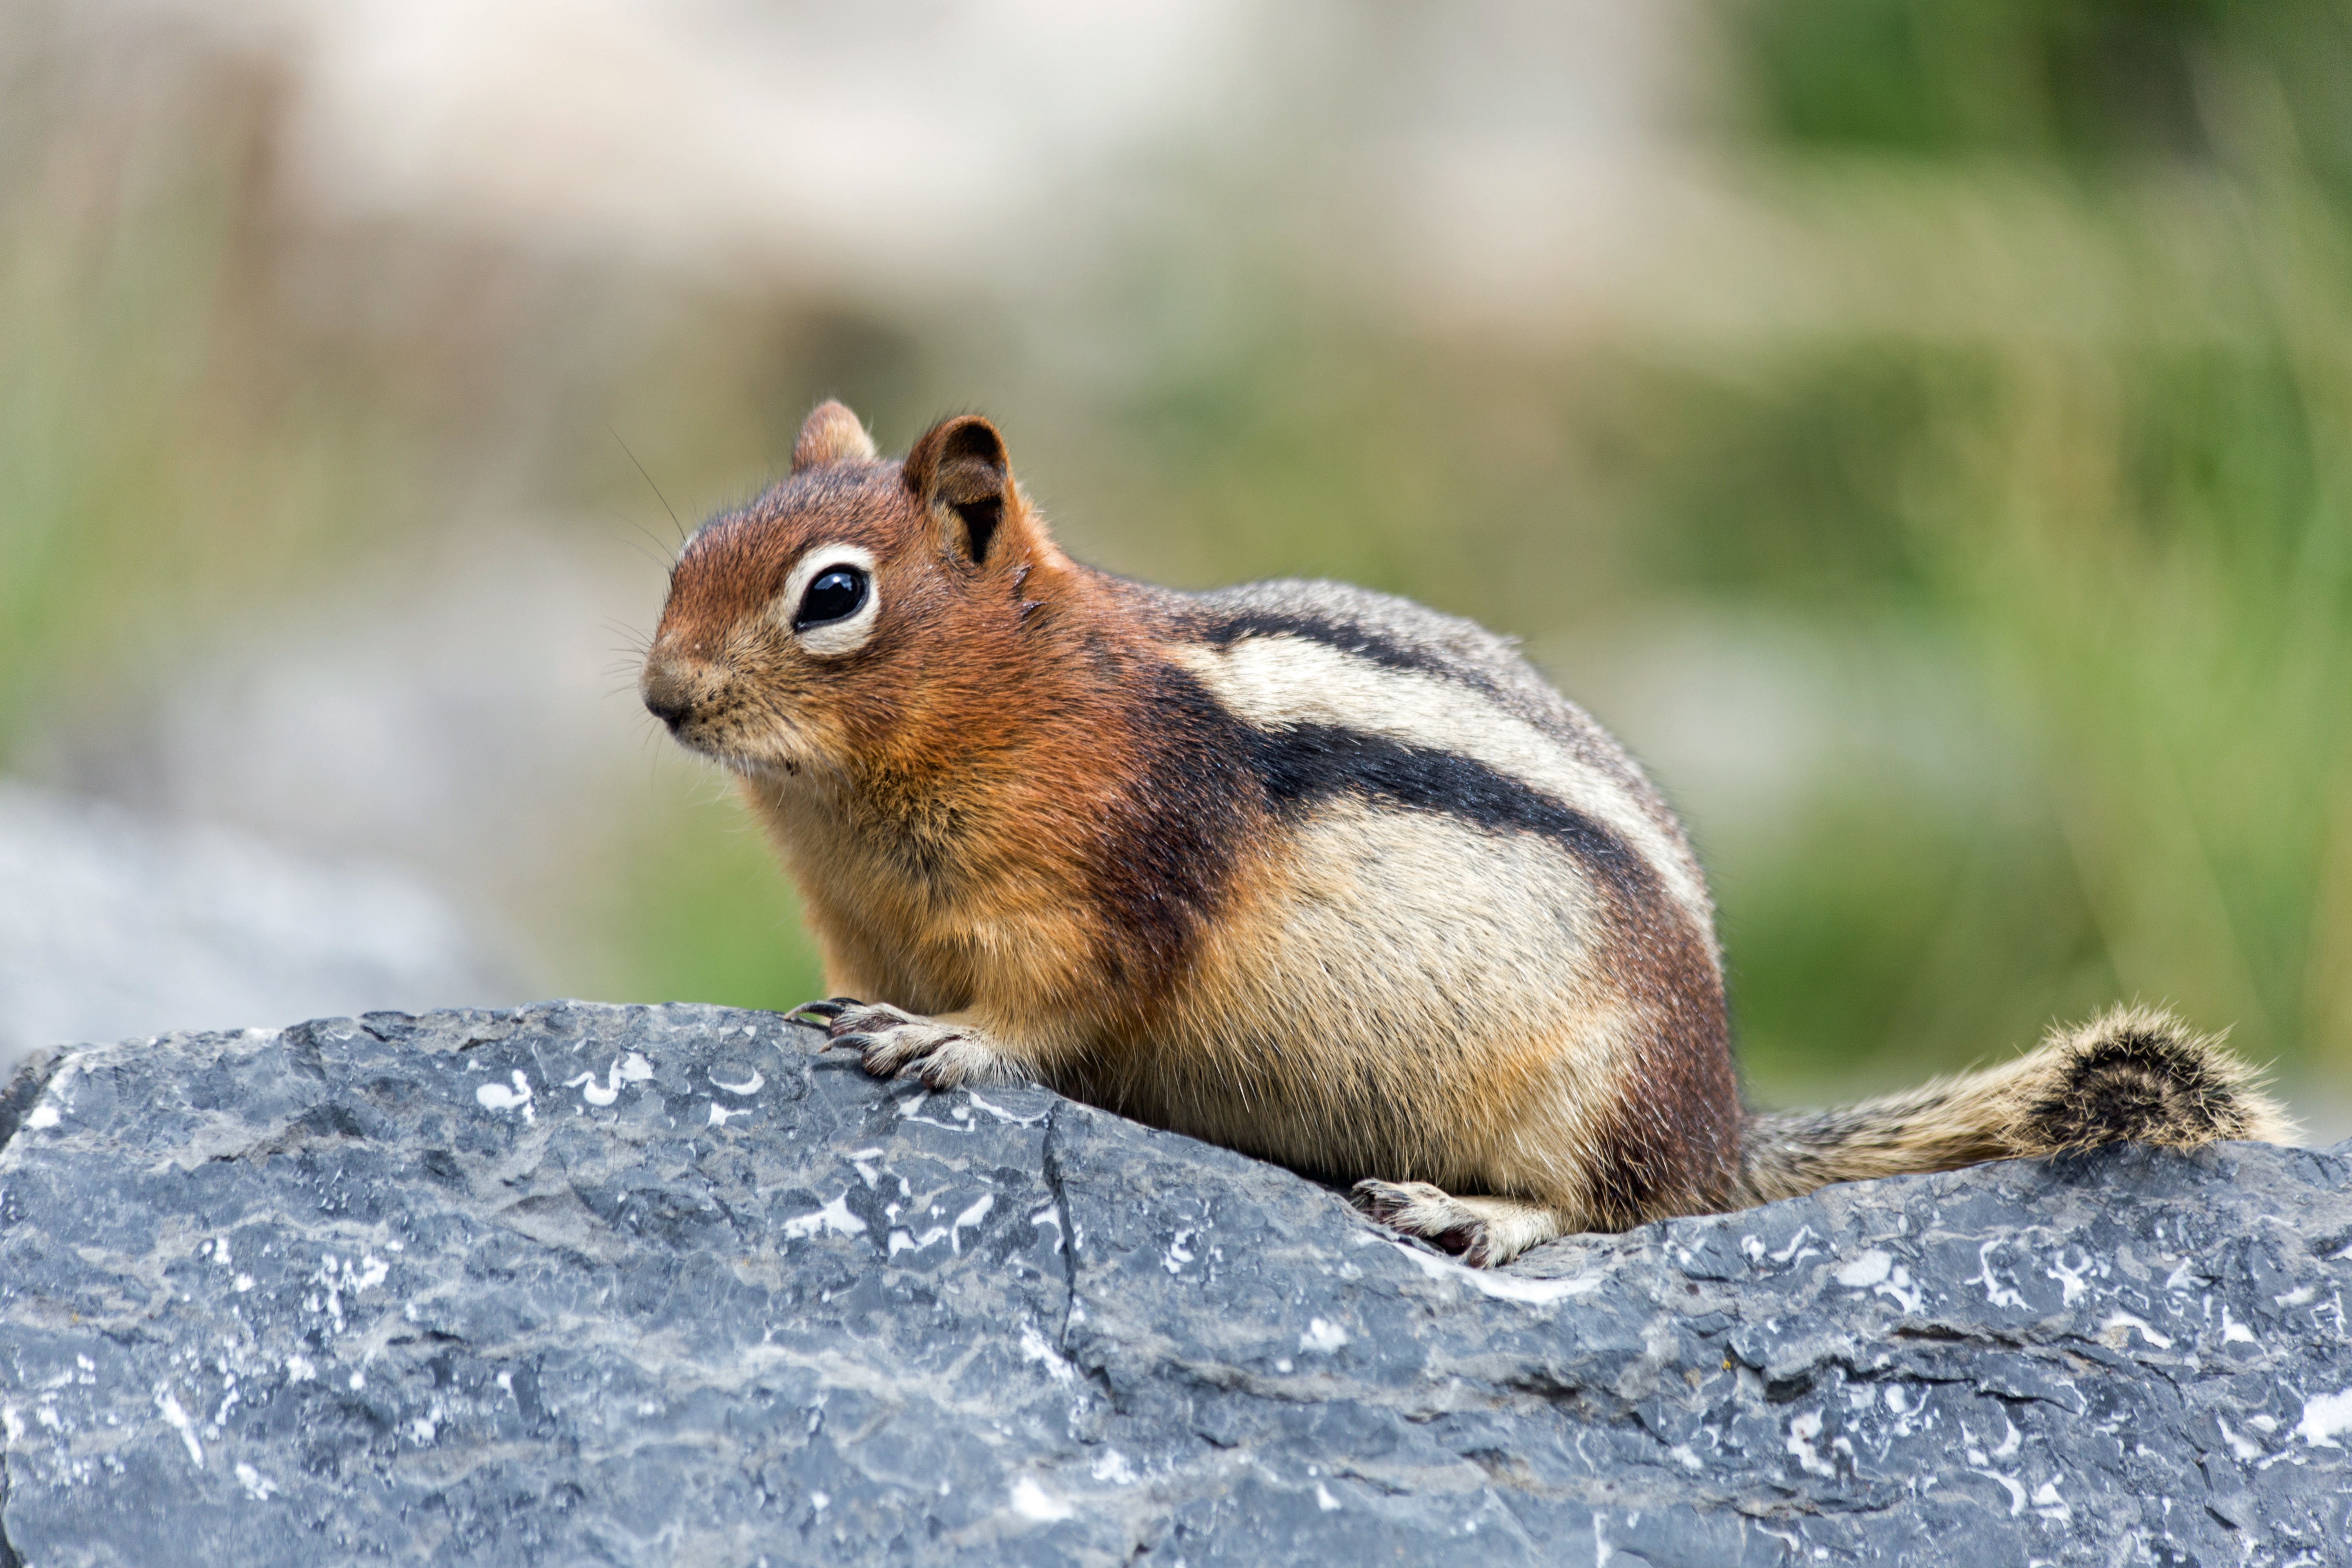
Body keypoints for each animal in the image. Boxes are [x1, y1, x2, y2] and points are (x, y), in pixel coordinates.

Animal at [635, 399, 2286, 1269]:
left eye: (833, 595)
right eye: (681, 556)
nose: (660, 698)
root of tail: (1725, 1122)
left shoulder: (1106, 882)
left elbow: (1055, 1007)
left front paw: (950, 1042)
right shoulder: (859, 914)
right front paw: (859, 1015)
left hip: (1591, 1090)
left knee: (1608, 1213)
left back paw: (1466, 1213)